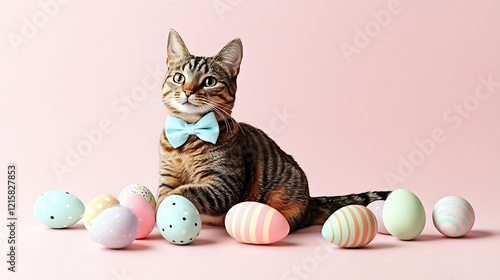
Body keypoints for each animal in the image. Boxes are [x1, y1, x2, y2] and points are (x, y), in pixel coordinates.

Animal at [156, 29, 390, 233]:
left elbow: (183, 192)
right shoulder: (168, 176)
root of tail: (310, 202)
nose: (187, 91)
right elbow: (165, 191)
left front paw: (161, 209)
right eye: (179, 78)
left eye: (209, 81)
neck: (188, 132)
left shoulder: (222, 186)